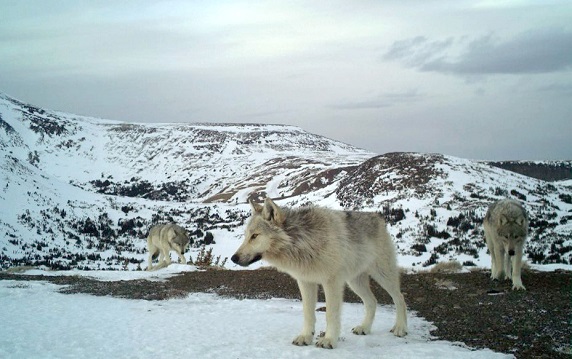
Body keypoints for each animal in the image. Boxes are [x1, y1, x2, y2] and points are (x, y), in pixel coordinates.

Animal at [230, 198, 408, 350]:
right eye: (246, 236)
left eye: (255, 236)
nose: (233, 258)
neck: (303, 242)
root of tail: (377, 216)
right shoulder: (305, 282)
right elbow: (308, 313)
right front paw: (305, 337)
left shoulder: (332, 282)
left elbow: (330, 314)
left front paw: (329, 340)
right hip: (355, 282)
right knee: (372, 302)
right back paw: (364, 328)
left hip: (383, 275)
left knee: (400, 298)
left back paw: (400, 328)